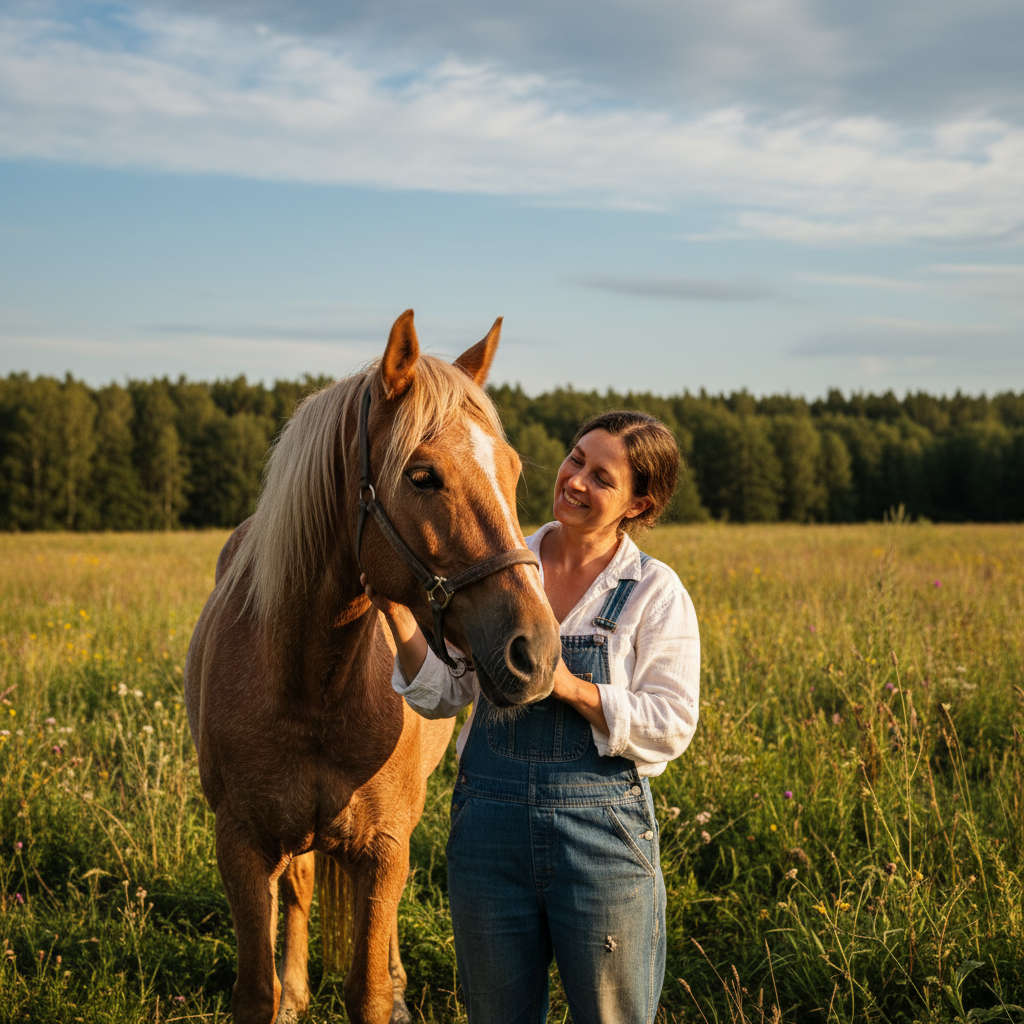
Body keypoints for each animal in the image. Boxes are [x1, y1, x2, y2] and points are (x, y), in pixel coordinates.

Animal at [184, 310, 561, 1024]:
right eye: (422, 476)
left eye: (512, 469)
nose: (538, 652)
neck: (312, 686)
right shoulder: (241, 843)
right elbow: (255, 990)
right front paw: (285, 992)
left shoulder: (384, 847)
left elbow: (369, 991)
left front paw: (388, 987)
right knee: (299, 888)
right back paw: (297, 990)